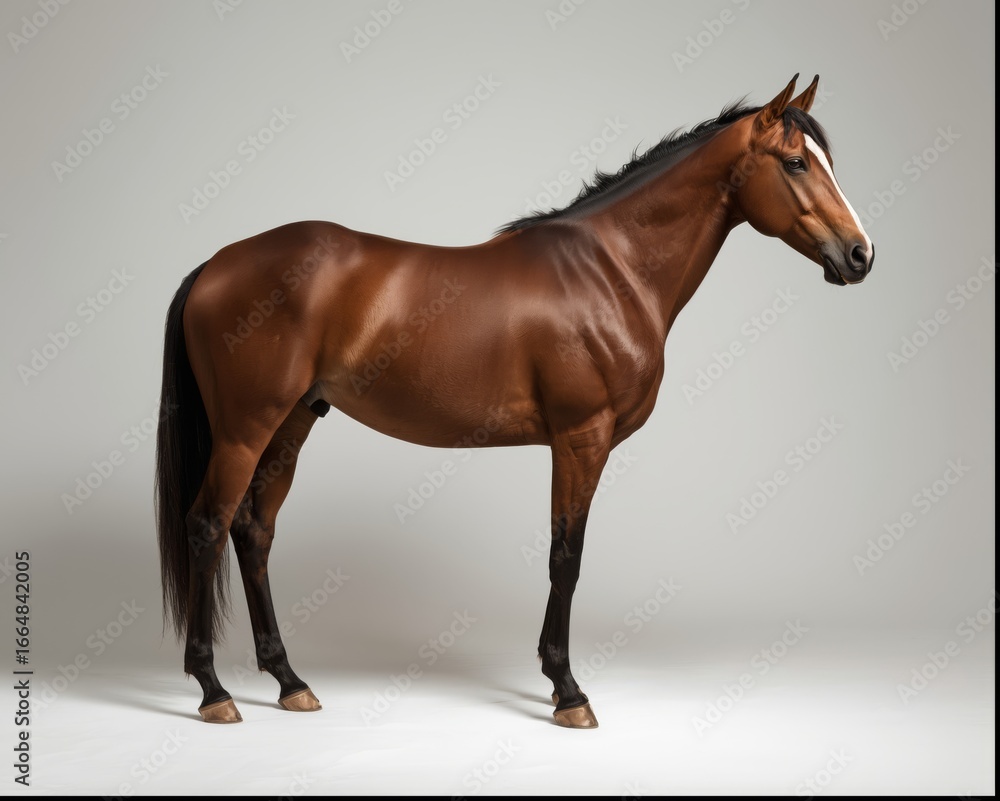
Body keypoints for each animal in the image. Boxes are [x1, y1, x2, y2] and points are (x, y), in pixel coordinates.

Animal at [155, 74, 873, 728]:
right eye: (796, 162)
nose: (861, 254)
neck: (610, 271)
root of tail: (215, 265)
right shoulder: (582, 438)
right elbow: (566, 557)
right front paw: (568, 691)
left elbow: (563, 556)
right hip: (245, 428)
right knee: (207, 525)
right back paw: (214, 690)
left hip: (292, 423)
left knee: (254, 532)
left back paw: (289, 681)